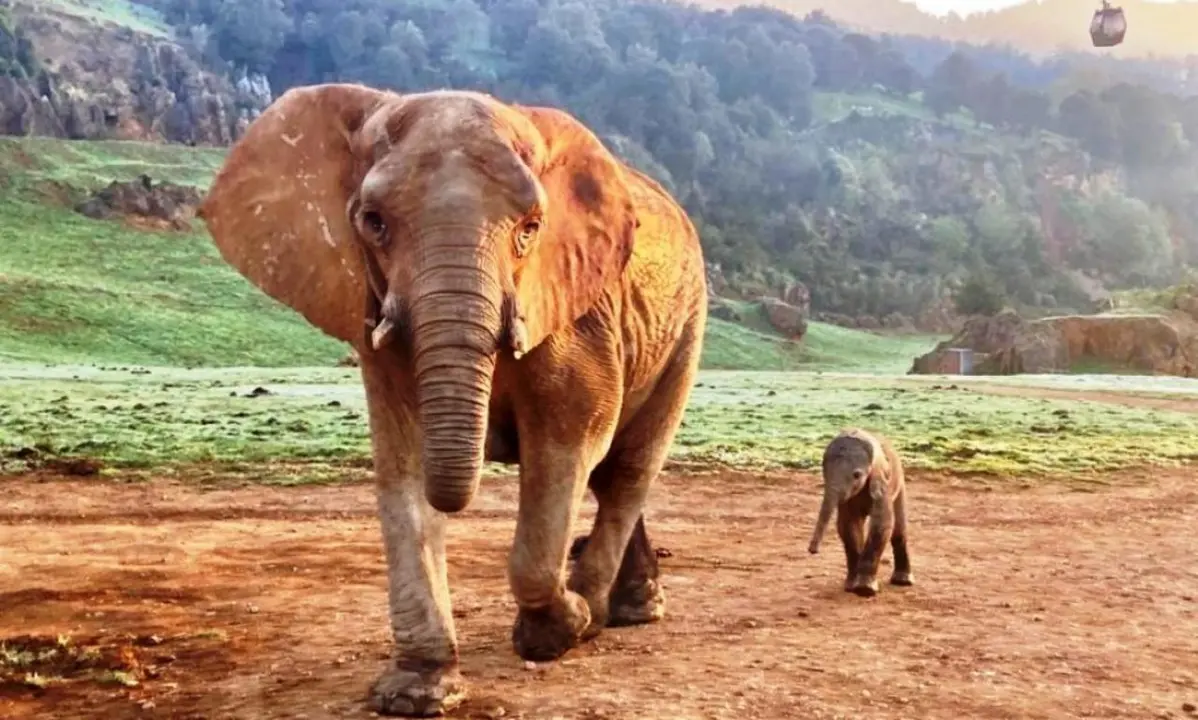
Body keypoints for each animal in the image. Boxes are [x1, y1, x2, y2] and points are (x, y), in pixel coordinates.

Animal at [195, 82, 699, 714]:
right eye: (374, 222)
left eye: (531, 228)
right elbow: (404, 465)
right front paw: (416, 694)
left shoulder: (576, 314)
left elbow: (570, 442)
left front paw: (560, 629)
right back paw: (620, 607)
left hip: (687, 325)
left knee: (626, 470)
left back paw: (606, 612)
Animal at [809, 426, 910, 594]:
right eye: (823, 472)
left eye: (857, 475)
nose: (812, 551)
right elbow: (848, 525)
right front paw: (851, 588)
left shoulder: (883, 483)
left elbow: (881, 523)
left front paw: (864, 590)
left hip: (900, 482)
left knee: (898, 529)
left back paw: (903, 581)